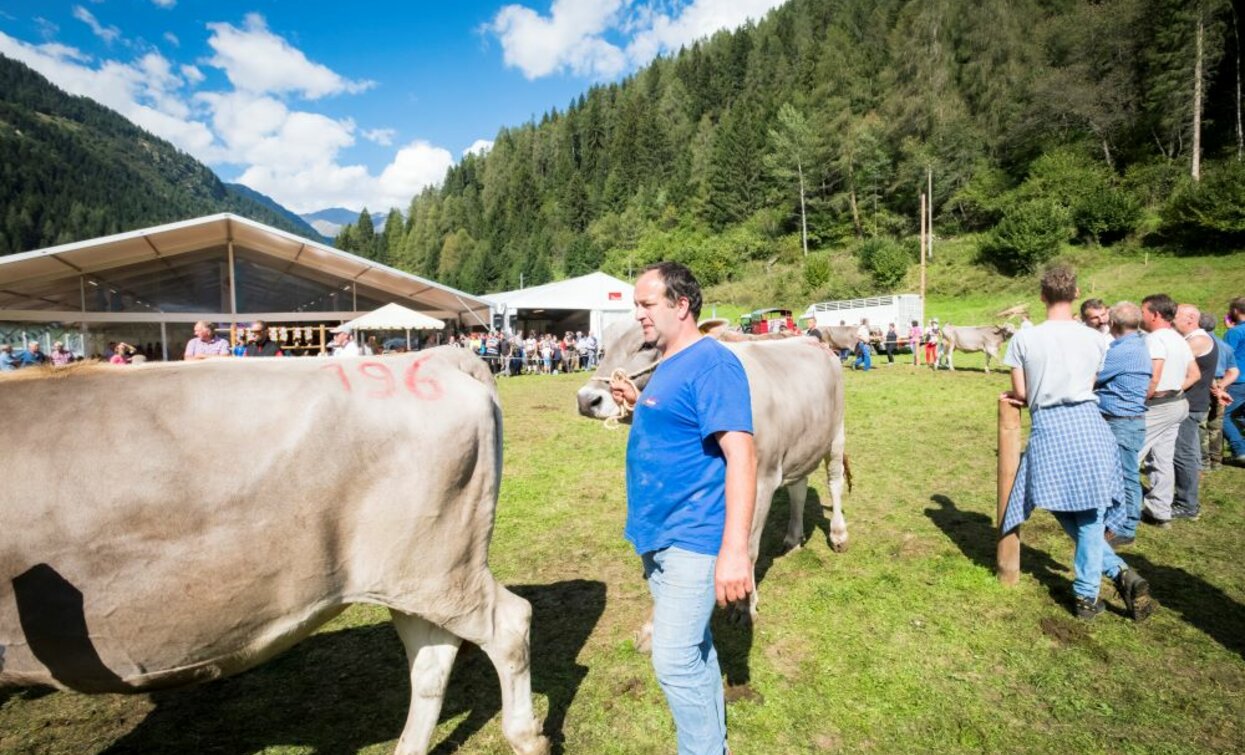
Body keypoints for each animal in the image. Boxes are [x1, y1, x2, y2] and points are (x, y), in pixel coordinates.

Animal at [572, 321, 846, 642]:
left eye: (646, 345)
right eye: (602, 347)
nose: (586, 400)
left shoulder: (761, 480)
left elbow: (747, 549)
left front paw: (744, 605)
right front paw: (654, 627)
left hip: (836, 433)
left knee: (835, 482)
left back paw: (839, 535)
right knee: (798, 489)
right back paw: (792, 538)